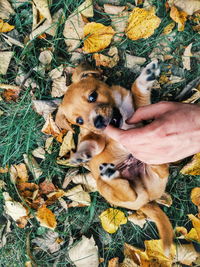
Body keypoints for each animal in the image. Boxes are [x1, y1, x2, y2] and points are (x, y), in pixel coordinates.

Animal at [55, 61, 173, 255]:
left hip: (154, 179)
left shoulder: (138, 109)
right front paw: (82, 153)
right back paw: (111, 175)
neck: (120, 119)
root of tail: (145, 202)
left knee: (160, 171)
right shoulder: (95, 136)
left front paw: (145, 79)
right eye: (79, 121)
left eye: (93, 96)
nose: (99, 123)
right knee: (129, 192)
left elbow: (138, 93)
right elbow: (93, 142)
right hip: (104, 187)